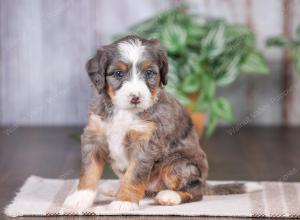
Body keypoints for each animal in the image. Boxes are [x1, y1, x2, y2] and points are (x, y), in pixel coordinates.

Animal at [63, 34, 262, 211]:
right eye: (118, 74)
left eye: (149, 73)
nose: (135, 97)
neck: (124, 112)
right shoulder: (94, 136)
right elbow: (89, 171)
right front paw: (80, 198)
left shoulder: (145, 143)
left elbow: (134, 175)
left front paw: (124, 201)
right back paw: (114, 187)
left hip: (177, 165)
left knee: (196, 190)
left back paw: (169, 196)